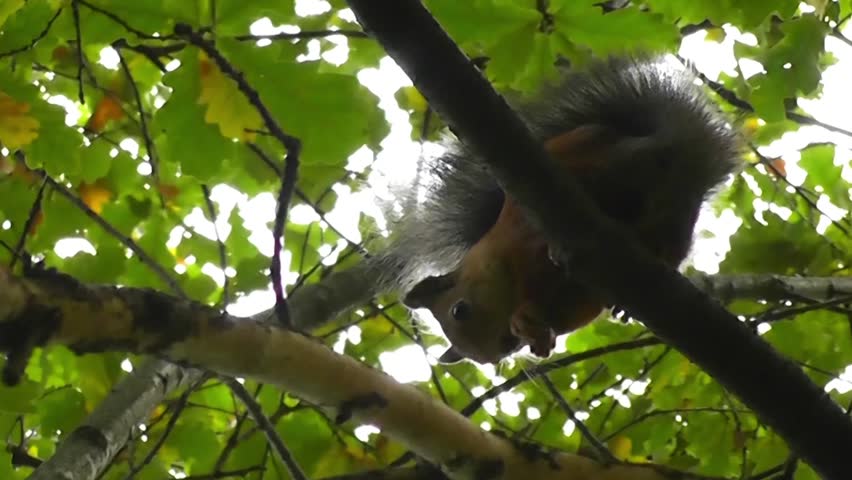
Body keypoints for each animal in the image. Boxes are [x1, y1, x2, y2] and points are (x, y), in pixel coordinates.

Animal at [369, 55, 742, 365]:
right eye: (479, 359)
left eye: (459, 310)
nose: (503, 347)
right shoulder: (571, 302)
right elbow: (575, 311)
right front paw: (536, 331)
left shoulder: (522, 235)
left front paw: (527, 313)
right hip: (676, 218)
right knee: (672, 241)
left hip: (606, 166)